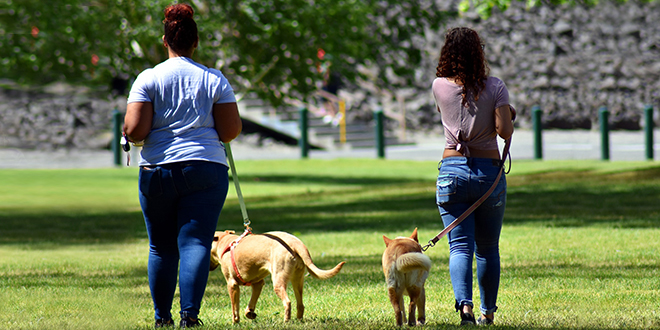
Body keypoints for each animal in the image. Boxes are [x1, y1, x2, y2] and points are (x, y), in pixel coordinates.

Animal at [210, 229, 346, 322]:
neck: (225, 242)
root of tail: (296, 243)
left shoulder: (232, 284)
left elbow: (235, 309)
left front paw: (235, 322)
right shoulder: (258, 283)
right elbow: (251, 303)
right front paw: (250, 313)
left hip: (278, 280)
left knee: (288, 302)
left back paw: (286, 321)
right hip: (298, 280)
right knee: (300, 305)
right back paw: (298, 321)